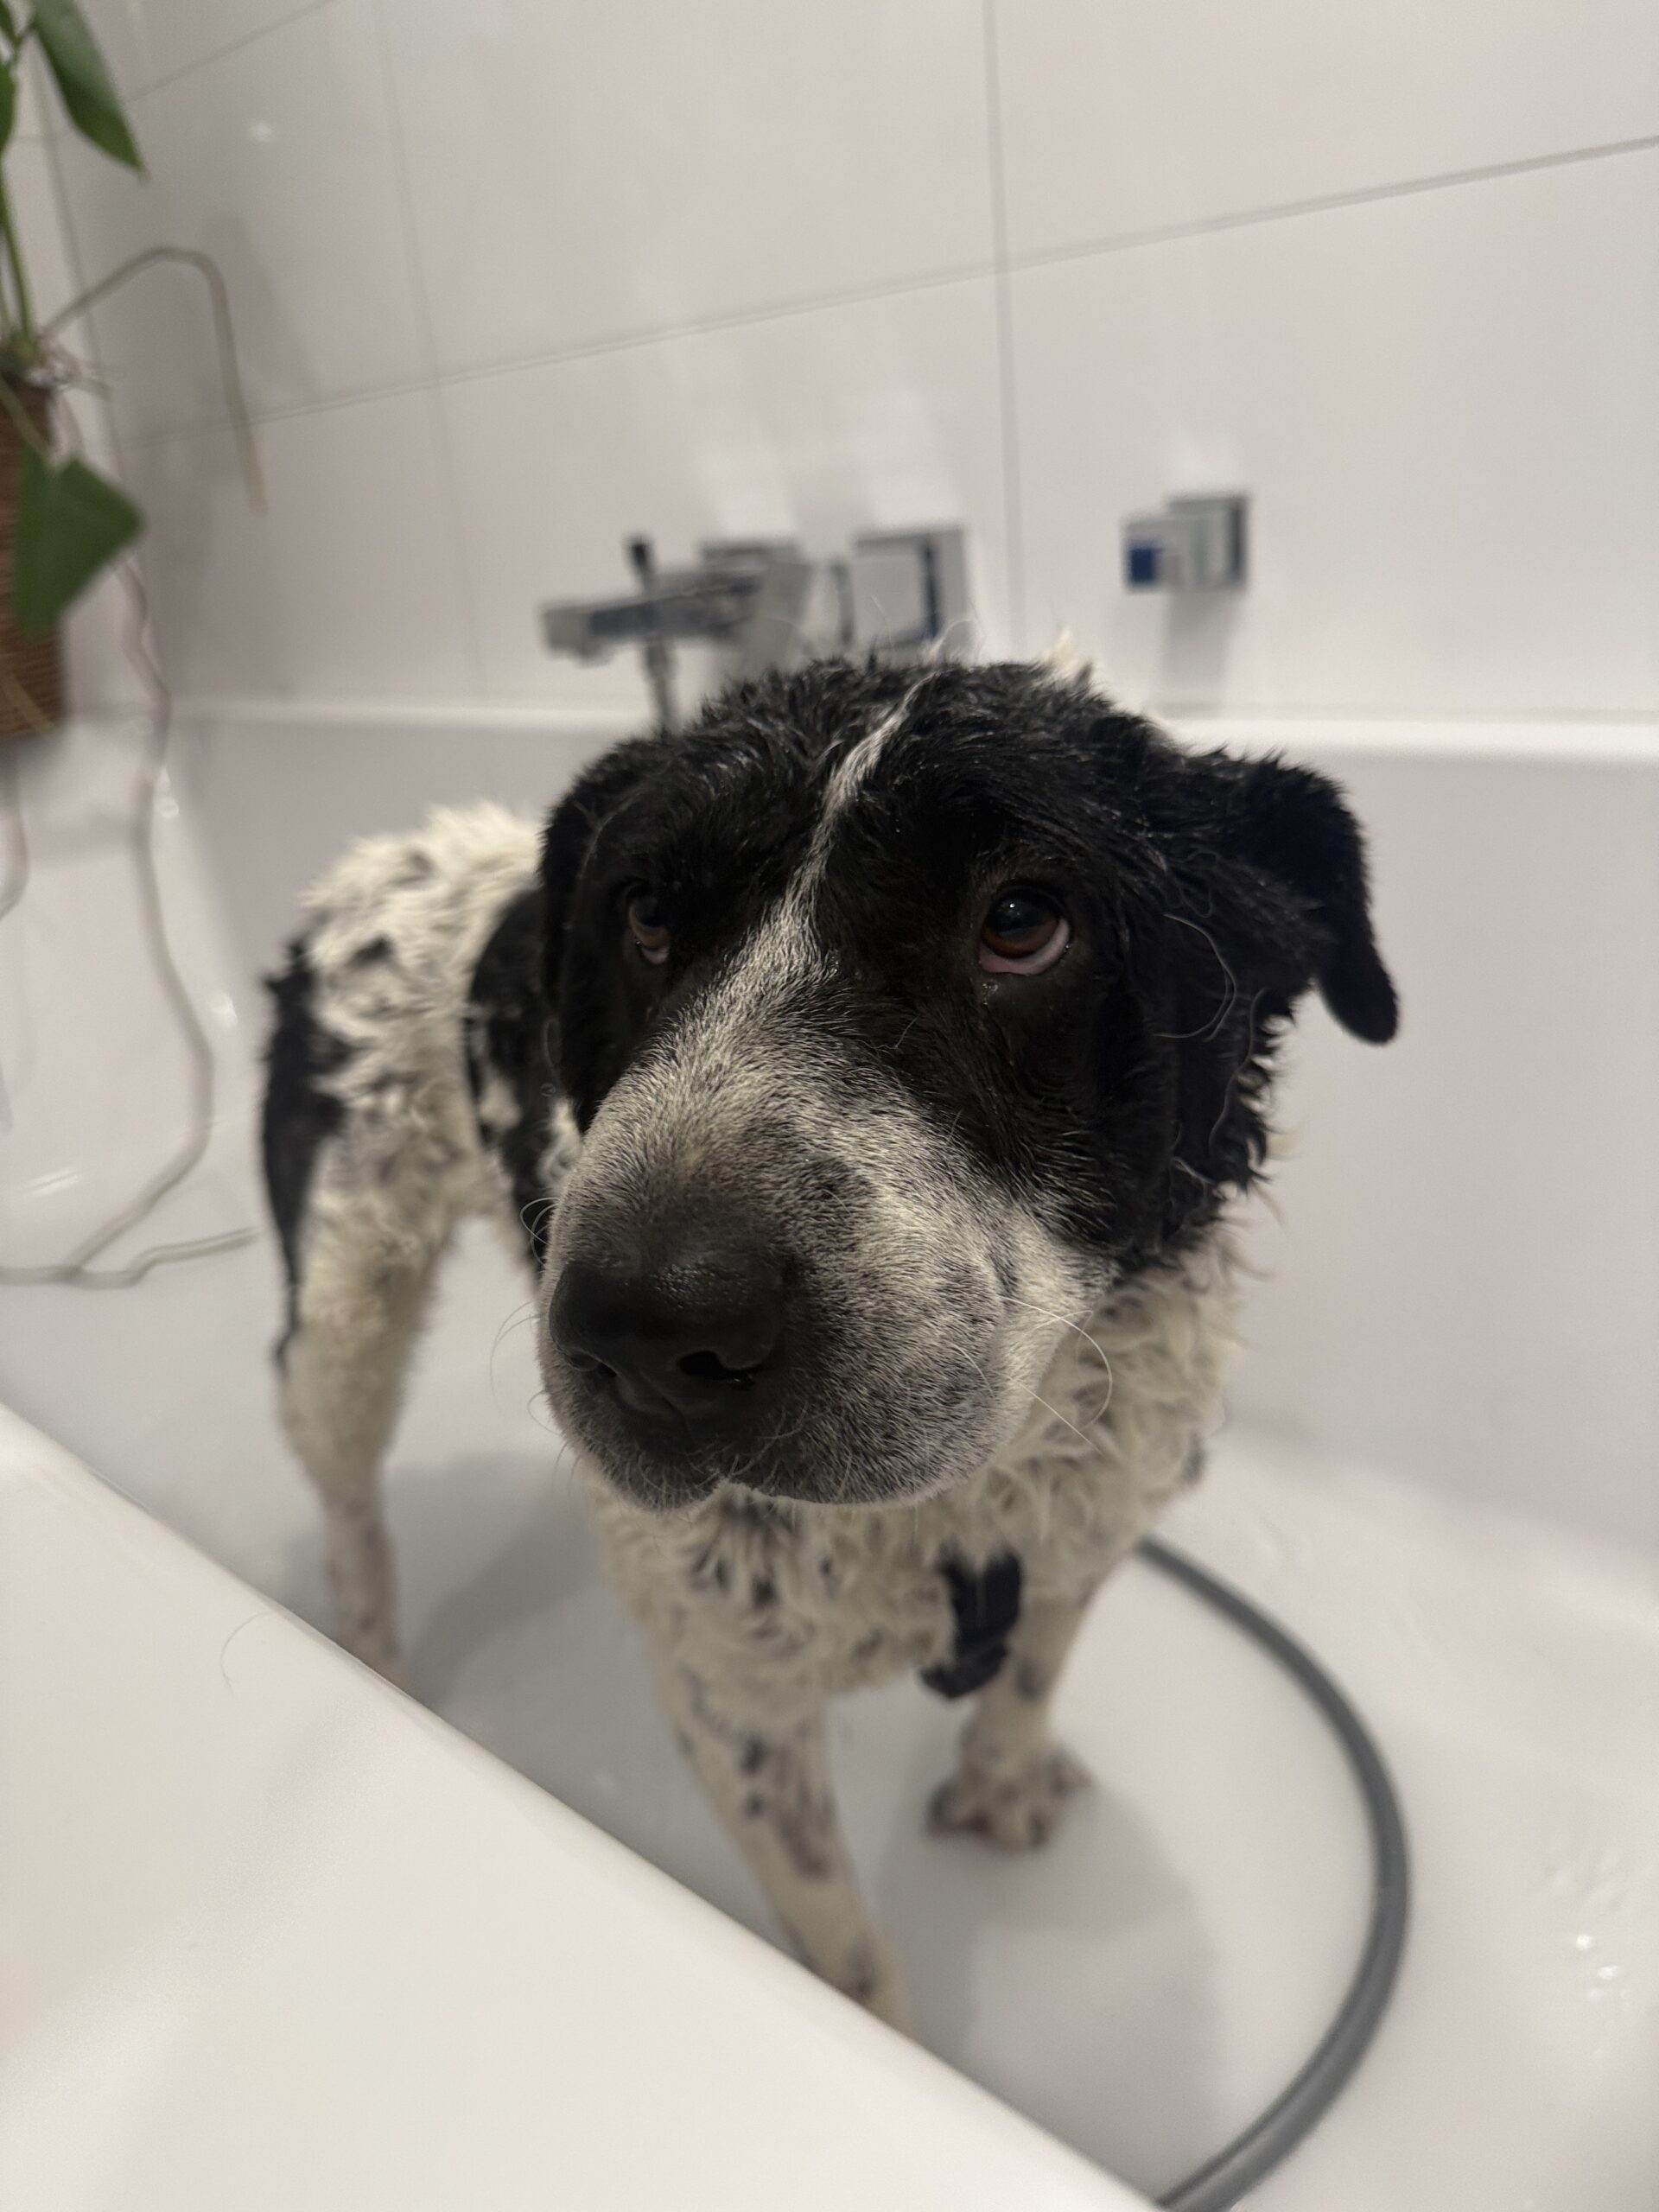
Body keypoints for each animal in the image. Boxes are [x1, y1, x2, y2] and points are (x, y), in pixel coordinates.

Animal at [261, 657, 1396, 2025]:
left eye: (1022, 921)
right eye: (645, 917)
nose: (643, 1328)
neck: (958, 1512)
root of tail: (367, 865)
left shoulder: (1089, 1523)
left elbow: (1034, 1665)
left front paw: (1004, 1776)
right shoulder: (731, 1695)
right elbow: (840, 1948)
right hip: (342, 1318)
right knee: (348, 1505)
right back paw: (372, 1658)